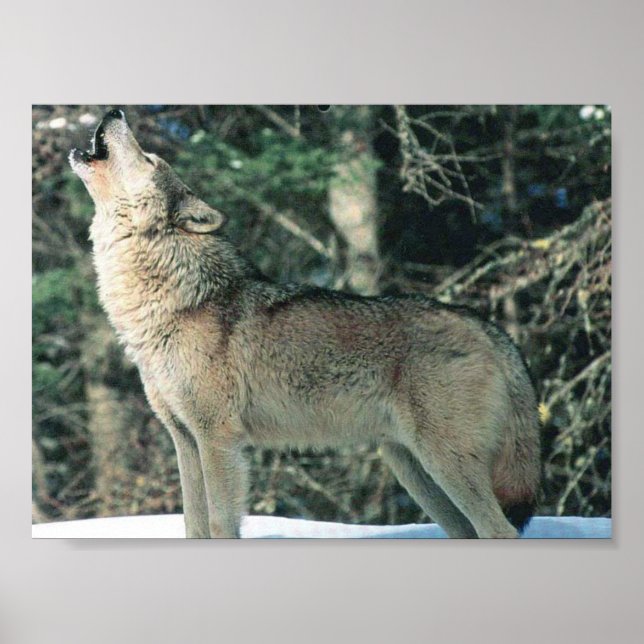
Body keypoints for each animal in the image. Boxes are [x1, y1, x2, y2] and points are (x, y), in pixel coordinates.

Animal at [69, 109, 540, 538]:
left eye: (150, 159)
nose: (114, 111)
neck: (176, 300)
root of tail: (488, 327)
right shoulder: (184, 437)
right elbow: (194, 525)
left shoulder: (218, 436)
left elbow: (220, 523)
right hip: (414, 471)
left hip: (444, 464)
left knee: (501, 531)